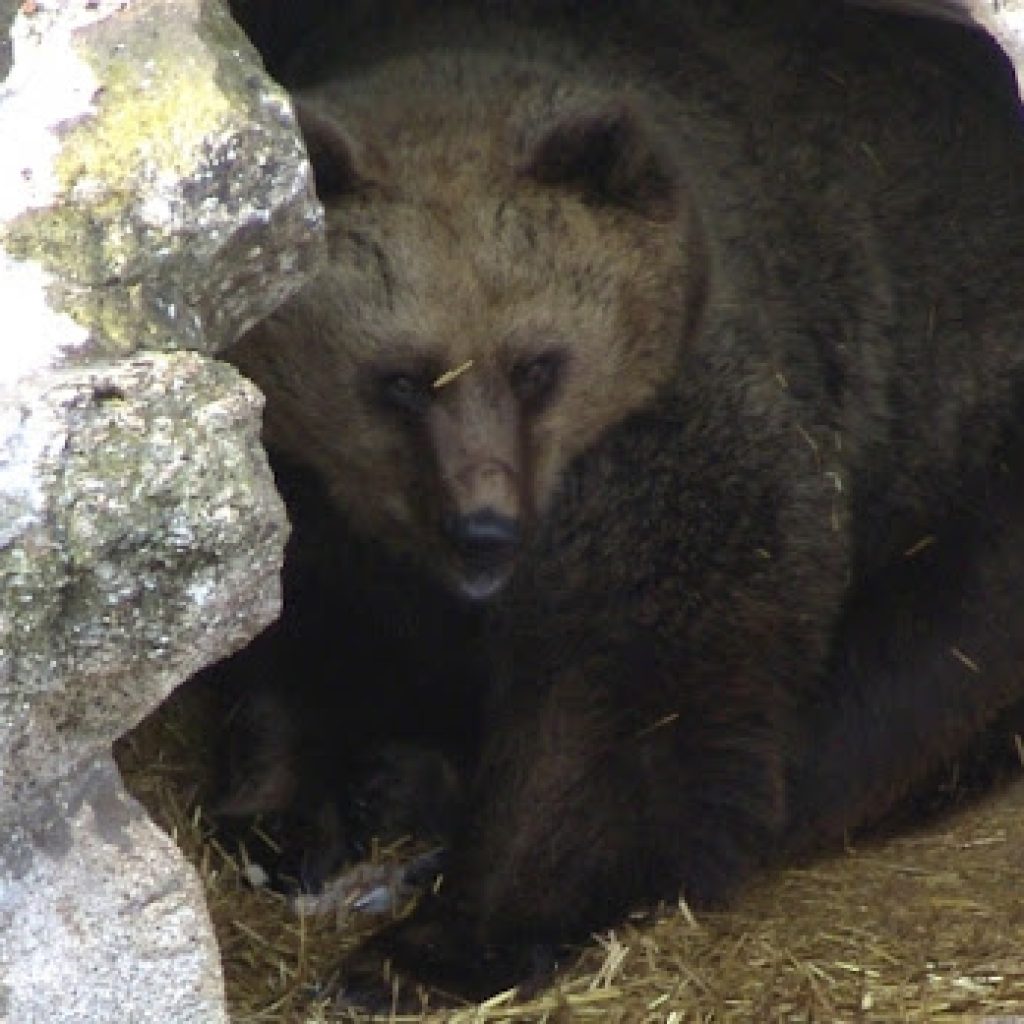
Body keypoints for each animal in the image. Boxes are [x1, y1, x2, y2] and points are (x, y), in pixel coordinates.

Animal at [216, 0, 1024, 1007]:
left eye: (537, 364)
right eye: (399, 379)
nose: (485, 532)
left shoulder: (670, 447)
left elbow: (626, 697)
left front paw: (424, 948)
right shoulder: (308, 487)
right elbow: (295, 631)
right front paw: (285, 812)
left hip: (958, 468)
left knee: (901, 688)